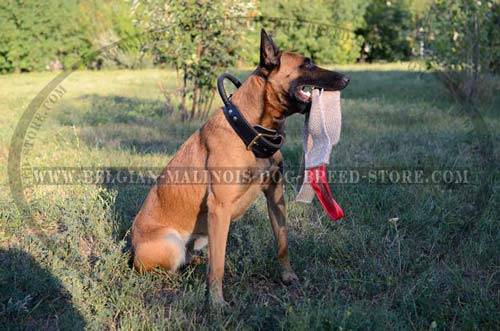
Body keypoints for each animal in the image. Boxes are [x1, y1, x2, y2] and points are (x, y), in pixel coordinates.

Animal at [133, 29, 352, 304]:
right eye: (307, 64)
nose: (346, 78)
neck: (250, 130)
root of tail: (131, 247)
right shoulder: (220, 208)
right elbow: (218, 264)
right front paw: (216, 302)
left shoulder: (275, 196)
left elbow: (282, 243)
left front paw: (287, 276)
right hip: (172, 245)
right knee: (170, 268)